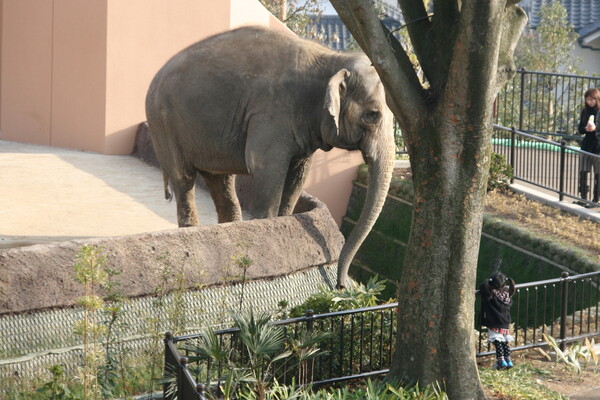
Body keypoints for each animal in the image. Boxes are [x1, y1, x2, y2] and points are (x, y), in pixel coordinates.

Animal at [145, 25, 396, 288]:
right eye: (372, 115)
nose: (341, 284)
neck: (332, 60)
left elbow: (297, 177)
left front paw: (283, 219)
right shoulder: (271, 113)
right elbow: (267, 170)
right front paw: (267, 226)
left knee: (221, 183)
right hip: (162, 122)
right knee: (183, 179)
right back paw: (191, 229)